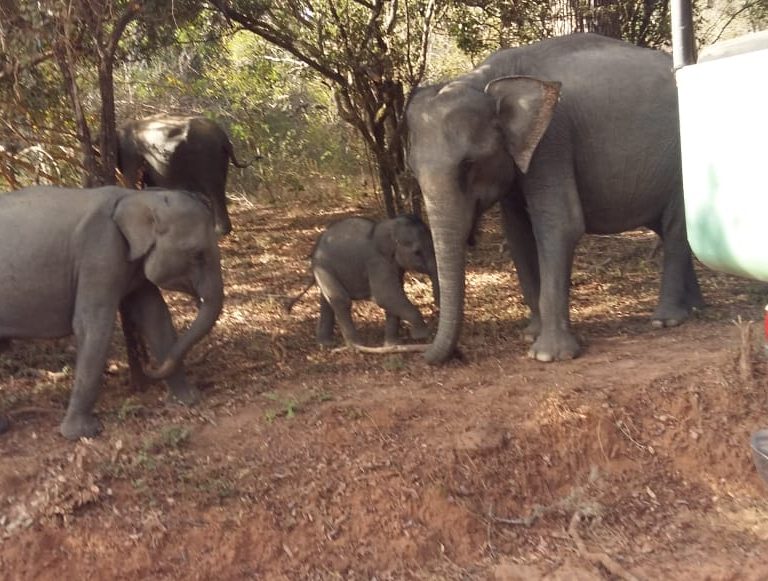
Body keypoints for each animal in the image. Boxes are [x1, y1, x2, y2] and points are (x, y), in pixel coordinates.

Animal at [0, 186, 225, 440]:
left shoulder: (132, 268)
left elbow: (155, 317)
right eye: (197, 254)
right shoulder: (100, 254)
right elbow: (92, 325)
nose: (147, 368)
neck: (136, 196)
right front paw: (82, 432)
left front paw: (187, 400)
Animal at [117, 113, 250, 236]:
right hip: (220, 158)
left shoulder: (129, 153)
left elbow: (131, 180)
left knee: (214, 189)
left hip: (207, 155)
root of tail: (224, 138)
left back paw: (219, 231)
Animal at [288, 214, 440, 346]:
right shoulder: (377, 262)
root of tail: (315, 248)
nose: (436, 310)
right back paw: (356, 345)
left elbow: (393, 296)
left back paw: (325, 344)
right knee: (340, 300)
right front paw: (421, 335)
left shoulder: (395, 266)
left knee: (327, 302)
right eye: (417, 252)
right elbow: (385, 296)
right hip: (322, 267)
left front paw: (392, 345)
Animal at [404, 31, 704, 362]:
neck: (485, 77)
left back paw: (667, 320)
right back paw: (695, 309)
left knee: (677, 227)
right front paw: (530, 335)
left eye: (468, 164)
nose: (424, 353)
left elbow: (560, 225)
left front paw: (548, 355)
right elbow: (518, 234)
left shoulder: (551, 139)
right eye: (412, 169)